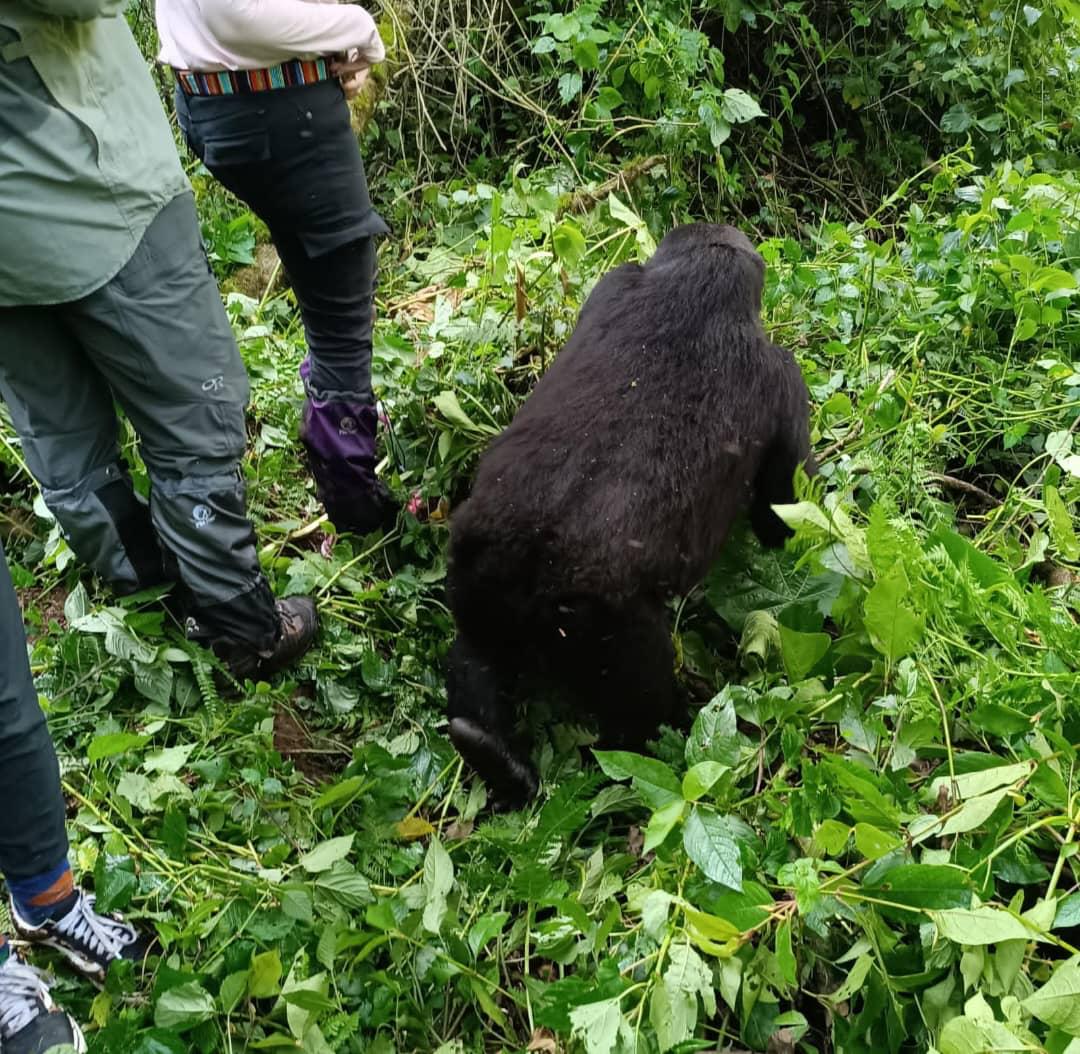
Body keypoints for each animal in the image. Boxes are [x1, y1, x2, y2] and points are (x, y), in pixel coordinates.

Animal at [444, 223, 814, 810]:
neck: (695, 292)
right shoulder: (783, 375)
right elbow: (783, 511)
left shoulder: (613, 282)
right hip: (603, 627)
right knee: (643, 703)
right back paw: (665, 738)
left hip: (475, 563)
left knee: (476, 652)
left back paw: (492, 753)